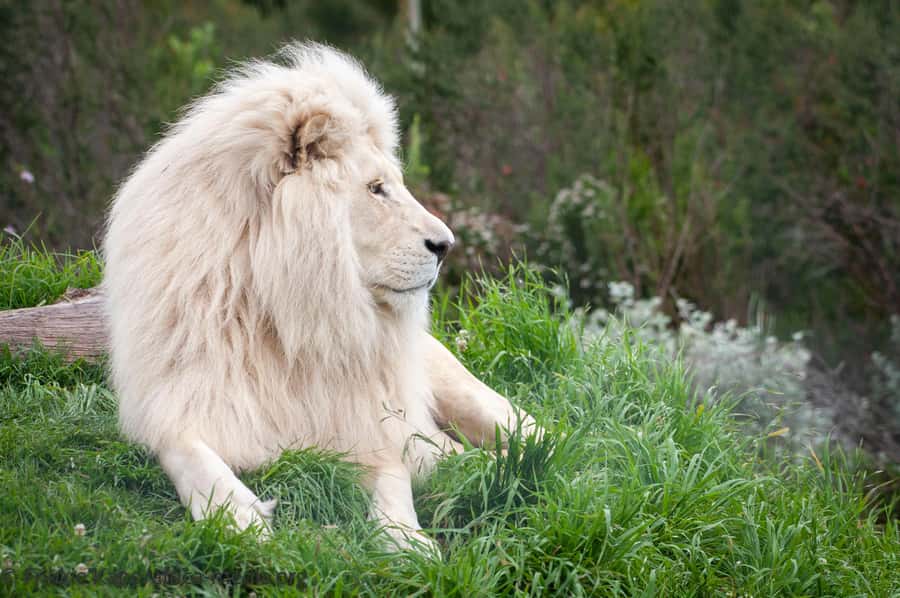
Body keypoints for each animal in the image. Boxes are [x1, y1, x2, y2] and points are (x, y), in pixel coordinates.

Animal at [102, 43, 538, 552]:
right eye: (376, 189)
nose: (446, 245)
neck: (291, 317)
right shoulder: (176, 404)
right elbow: (187, 451)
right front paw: (237, 517)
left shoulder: (365, 426)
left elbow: (392, 480)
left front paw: (407, 542)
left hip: (470, 396)